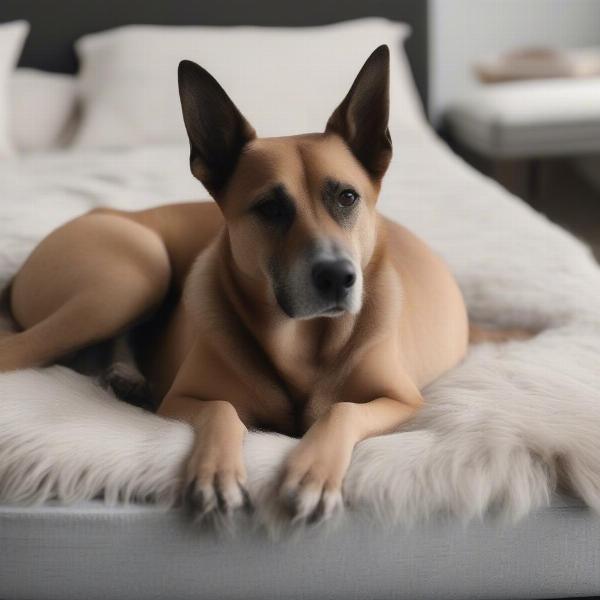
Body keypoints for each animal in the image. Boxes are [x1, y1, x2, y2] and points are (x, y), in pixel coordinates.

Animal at [0, 45, 472, 524]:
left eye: (347, 197)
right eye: (269, 208)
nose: (338, 277)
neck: (301, 341)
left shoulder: (403, 403)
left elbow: (342, 410)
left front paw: (313, 474)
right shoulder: (180, 401)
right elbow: (223, 409)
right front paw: (216, 472)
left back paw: (125, 374)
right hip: (134, 274)